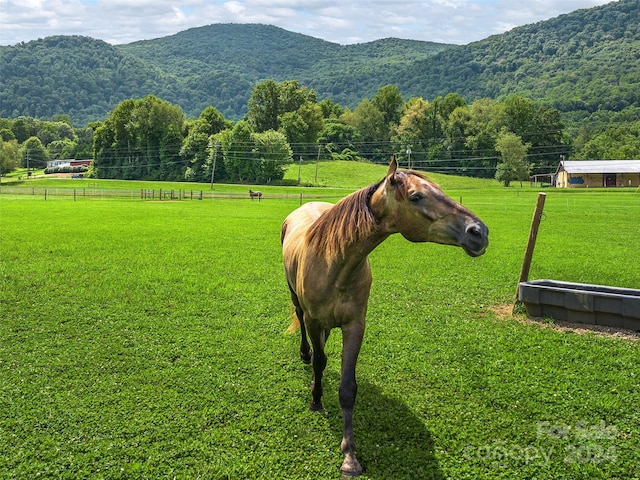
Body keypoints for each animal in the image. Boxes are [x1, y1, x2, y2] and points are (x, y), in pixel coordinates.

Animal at [282, 158, 490, 476]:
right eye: (416, 197)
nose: (479, 232)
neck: (335, 264)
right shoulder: (315, 321)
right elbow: (319, 361)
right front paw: (316, 400)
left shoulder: (355, 326)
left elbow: (347, 388)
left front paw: (350, 455)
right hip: (297, 300)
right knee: (303, 327)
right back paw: (305, 356)